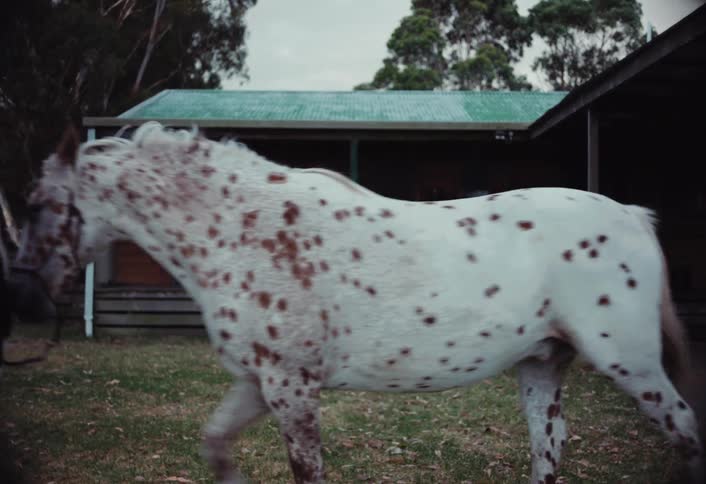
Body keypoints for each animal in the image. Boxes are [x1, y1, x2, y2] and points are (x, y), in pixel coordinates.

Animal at [13, 122, 703, 483]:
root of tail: (631, 215)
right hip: (541, 366)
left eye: (37, 202)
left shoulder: (291, 387)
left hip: (629, 364)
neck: (240, 229)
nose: (24, 288)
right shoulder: (258, 383)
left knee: (685, 431)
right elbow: (216, 444)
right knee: (548, 448)